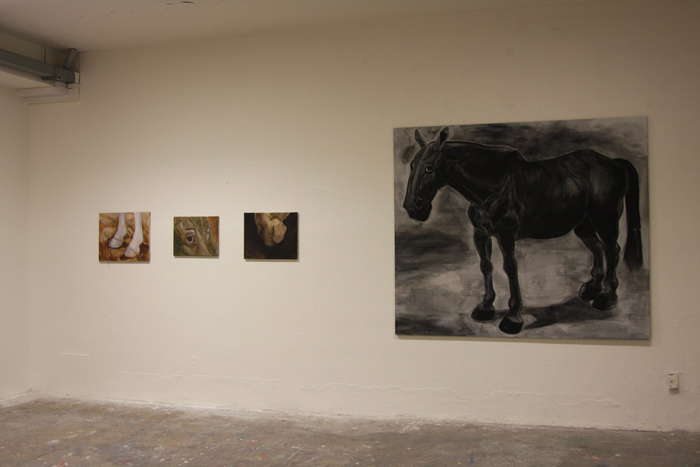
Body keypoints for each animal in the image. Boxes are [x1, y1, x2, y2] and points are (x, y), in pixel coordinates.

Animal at [402, 127, 643, 334]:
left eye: (429, 167)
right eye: (412, 165)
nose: (413, 207)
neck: (495, 185)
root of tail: (613, 163)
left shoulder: (506, 236)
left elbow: (510, 268)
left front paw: (513, 317)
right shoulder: (480, 234)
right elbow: (485, 266)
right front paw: (485, 306)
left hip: (606, 221)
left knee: (612, 249)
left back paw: (607, 296)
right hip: (583, 225)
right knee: (597, 247)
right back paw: (592, 287)